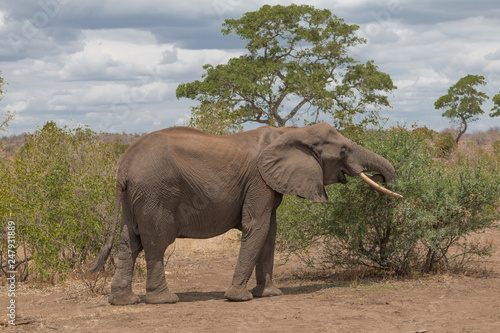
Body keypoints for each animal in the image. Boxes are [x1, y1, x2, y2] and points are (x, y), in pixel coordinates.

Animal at [91, 121, 402, 304]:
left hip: (135, 196)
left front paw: (270, 294)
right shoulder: (258, 180)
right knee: (155, 242)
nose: (385, 181)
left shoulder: (267, 183)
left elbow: (270, 232)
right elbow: (258, 226)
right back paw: (165, 300)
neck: (292, 130)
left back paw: (124, 301)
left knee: (128, 241)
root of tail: (124, 164)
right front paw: (239, 298)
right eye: (344, 150)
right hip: (155, 193)